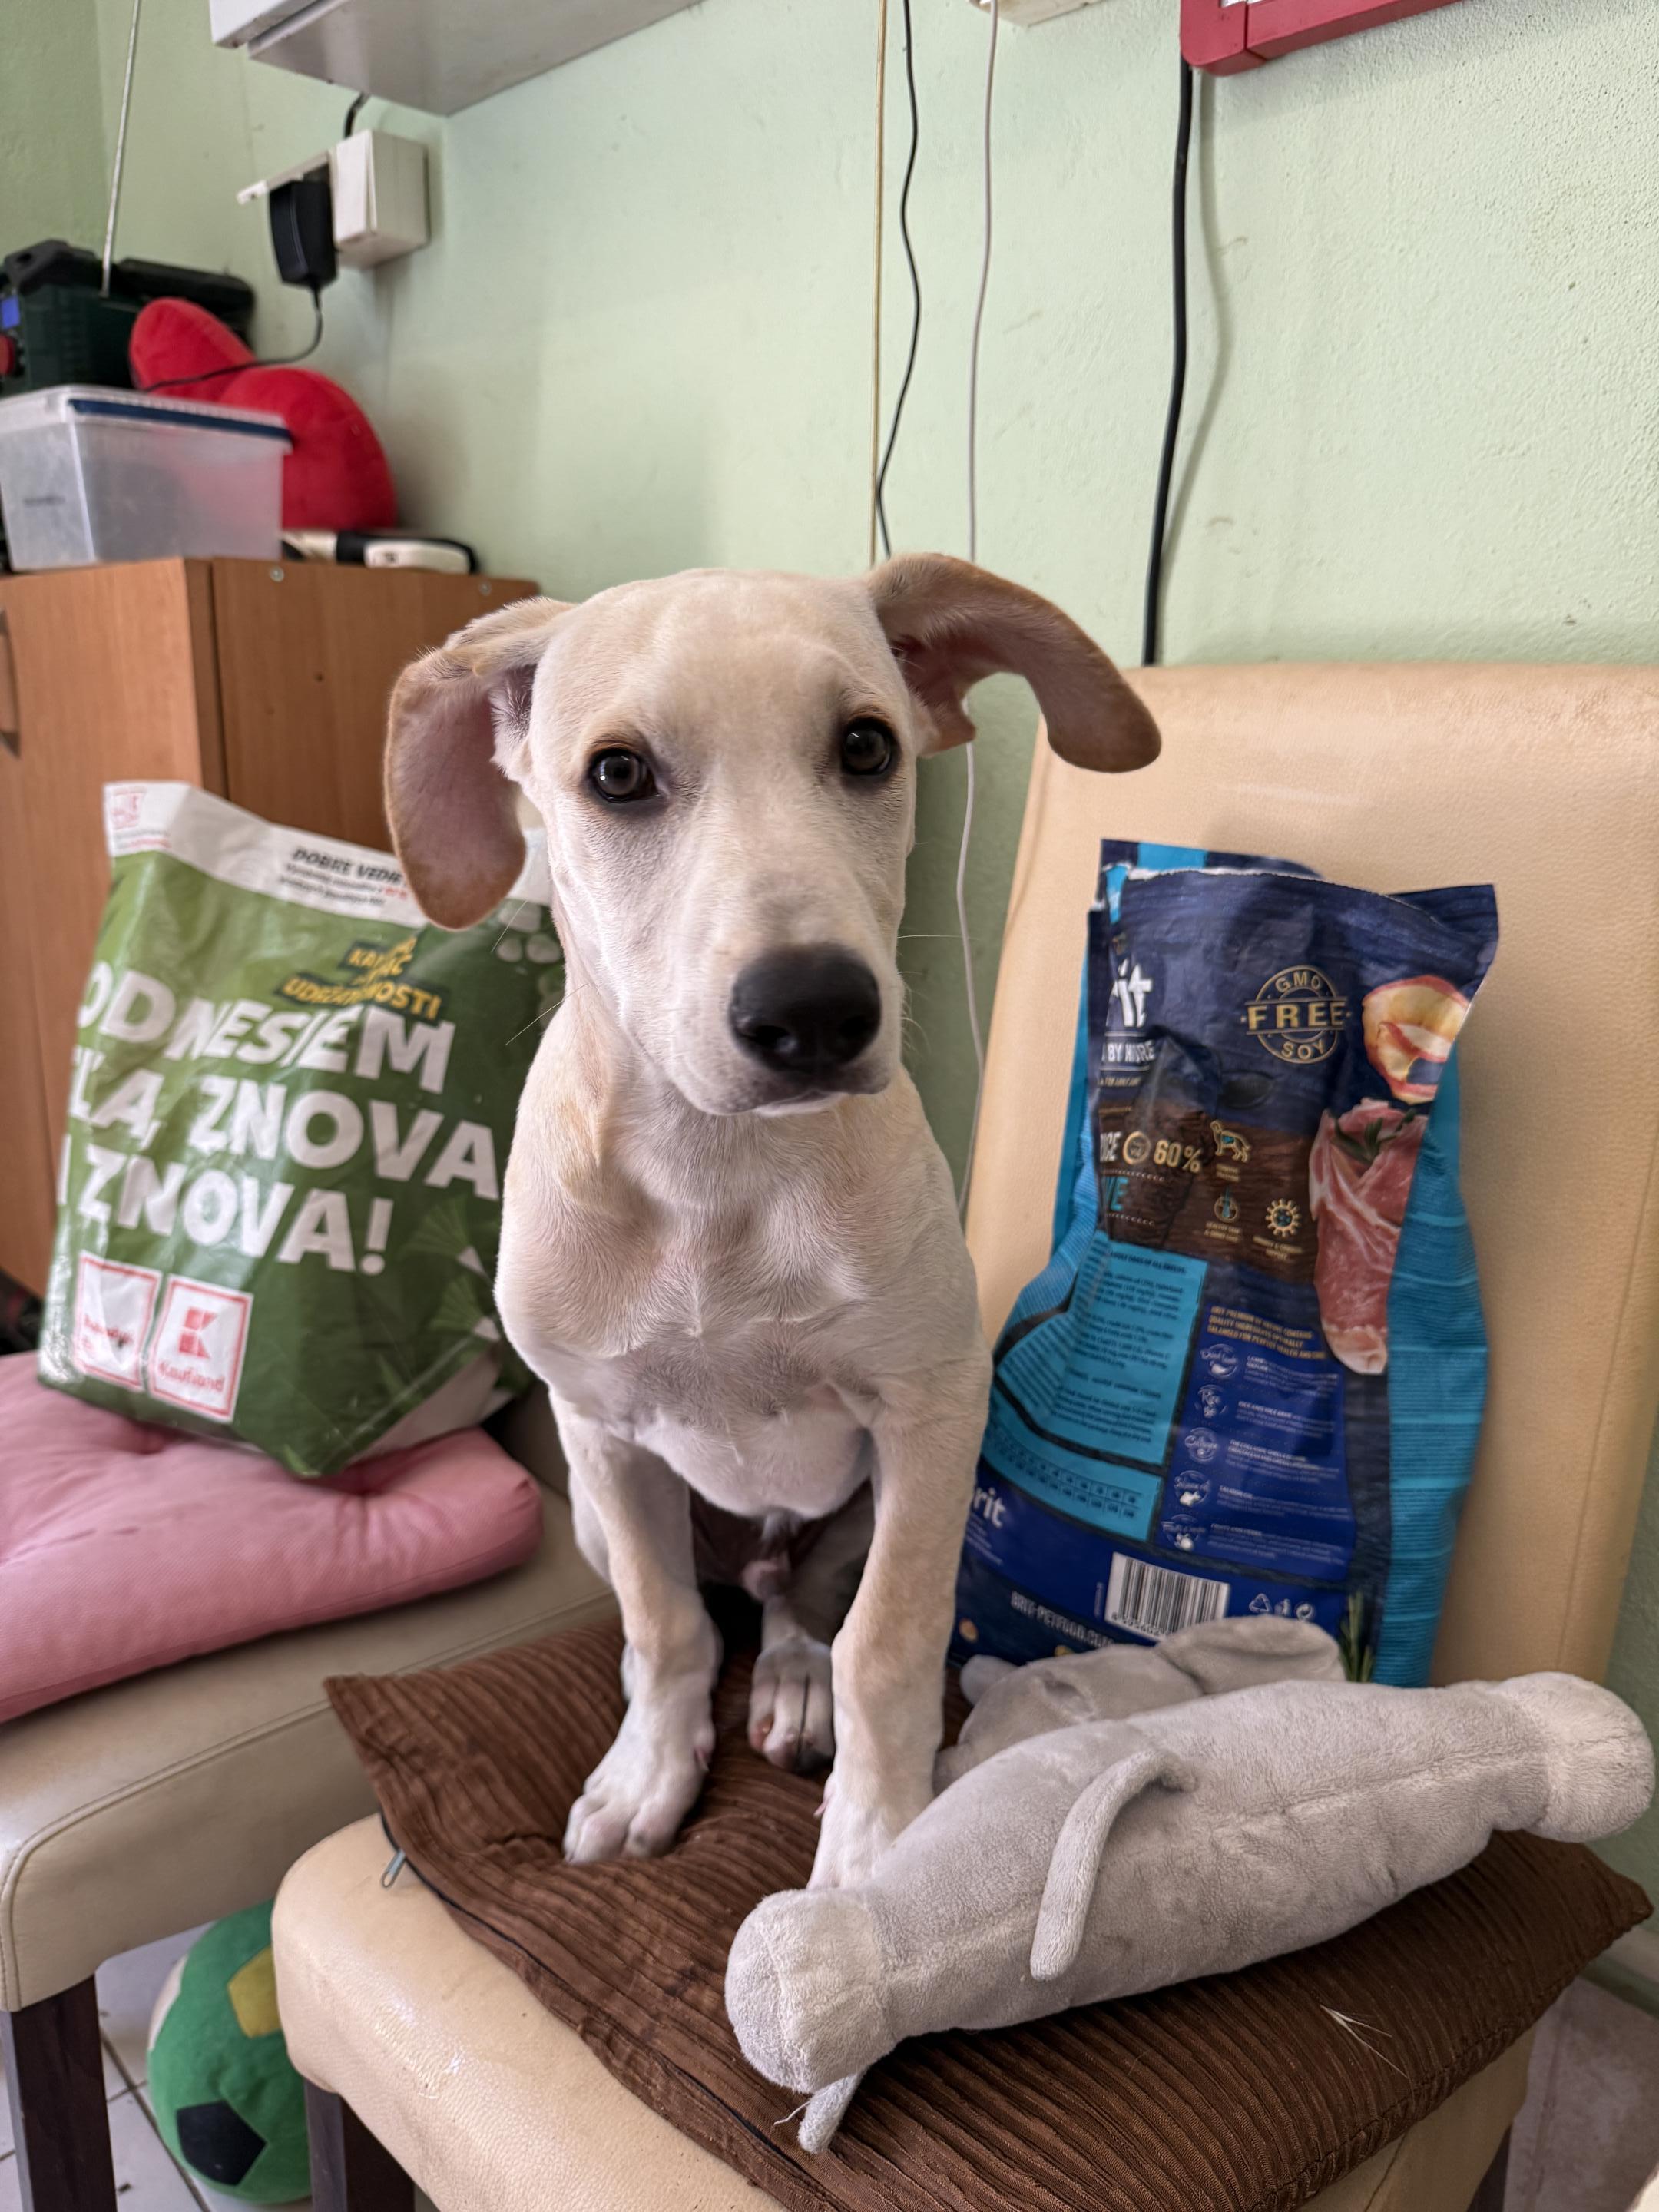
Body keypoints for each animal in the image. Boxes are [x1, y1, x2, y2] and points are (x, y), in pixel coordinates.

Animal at [384, 554, 1158, 1889]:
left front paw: (879, 1838)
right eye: (618, 775)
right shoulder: (599, 1433)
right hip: (596, 1514)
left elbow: (886, 1642)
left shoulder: (929, 1415)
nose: (814, 1012)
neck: (713, 1181)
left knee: (805, 1614)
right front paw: (650, 1771)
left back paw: (796, 1691)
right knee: (703, 1610)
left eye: (866, 747)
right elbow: (665, 1629)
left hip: (860, 1506)